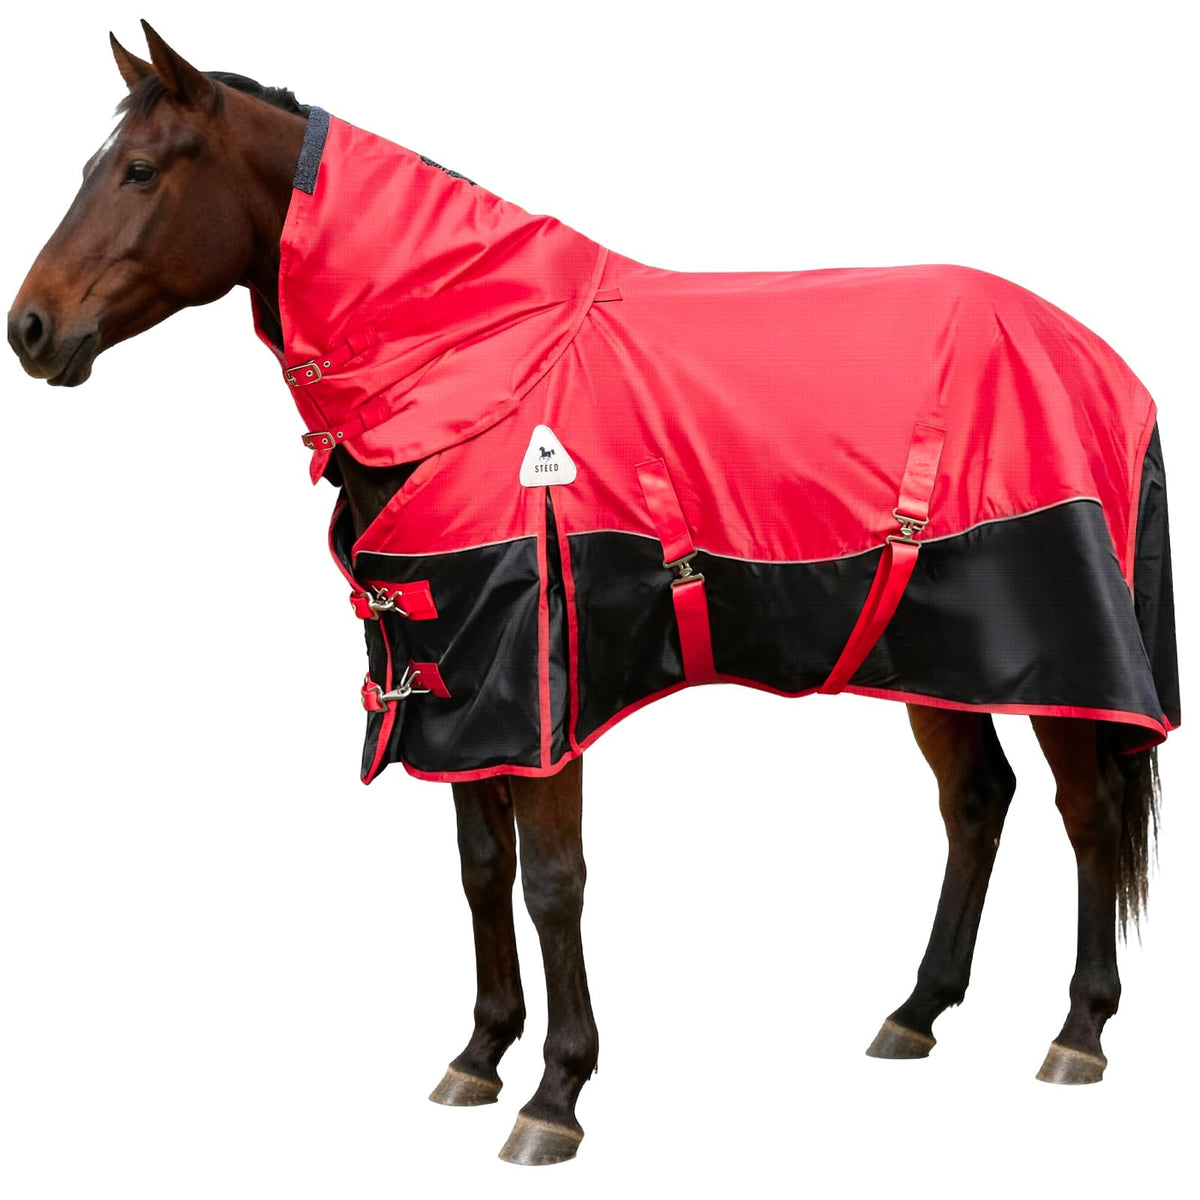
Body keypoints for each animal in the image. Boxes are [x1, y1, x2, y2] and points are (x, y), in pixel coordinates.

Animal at [7, 23, 1177, 1167]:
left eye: (141, 169)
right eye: (90, 167)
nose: (29, 329)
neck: (483, 366)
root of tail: (1100, 358)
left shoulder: (543, 691)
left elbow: (552, 881)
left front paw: (556, 1094)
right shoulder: (454, 688)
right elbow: (482, 870)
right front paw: (479, 1053)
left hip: (1061, 655)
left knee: (1087, 812)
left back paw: (1079, 1030)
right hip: (936, 656)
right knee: (976, 803)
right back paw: (917, 1011)